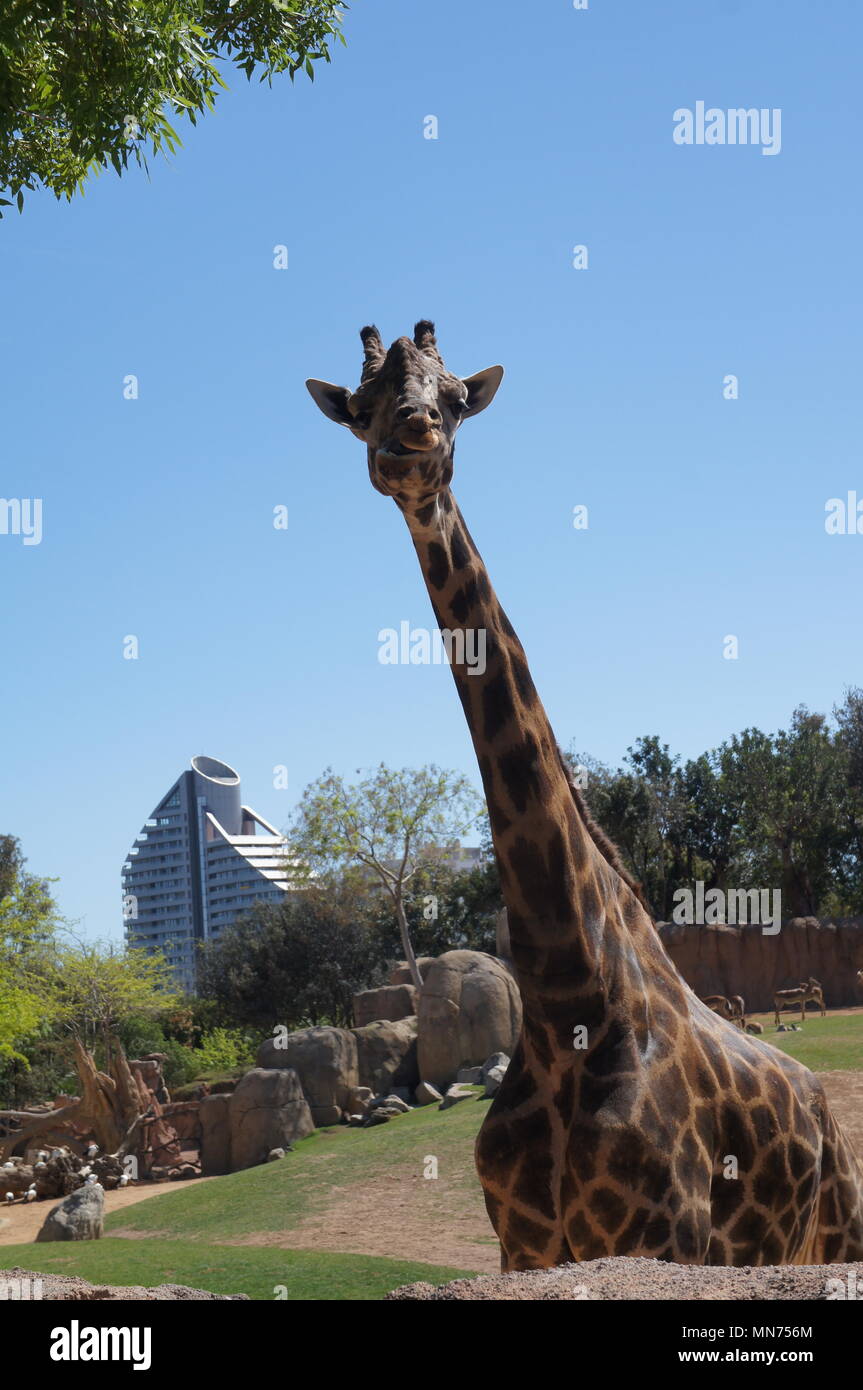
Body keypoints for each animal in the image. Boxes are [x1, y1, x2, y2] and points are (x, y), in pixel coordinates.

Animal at [305, 319, 861, 1267]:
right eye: (364, 404)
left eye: (454, 398)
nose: (411, 440)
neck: (568, 999)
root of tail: (821, 1100)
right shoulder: (523, 1244)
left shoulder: (660, 1238)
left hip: (837, 1231)